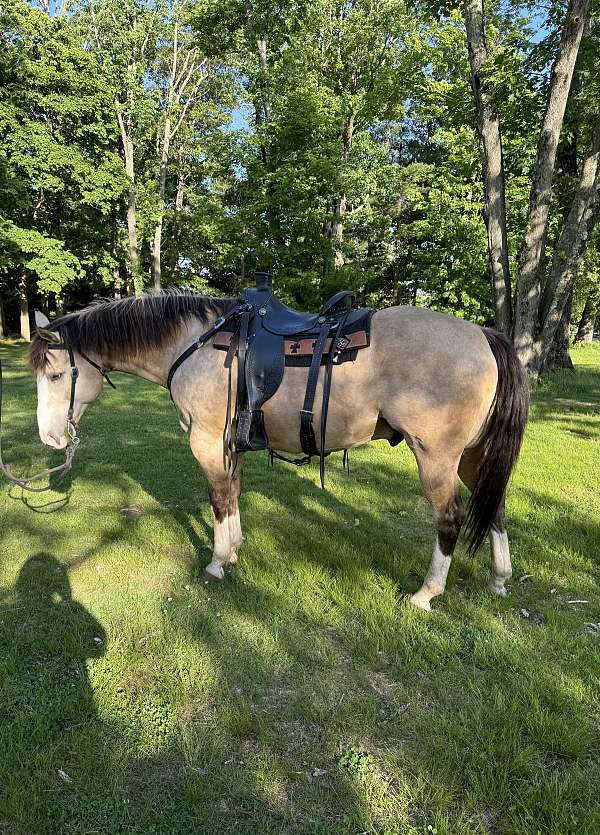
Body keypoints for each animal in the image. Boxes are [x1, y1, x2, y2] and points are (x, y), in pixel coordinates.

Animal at [30, 292, 529, 610]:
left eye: (55, 375)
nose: (51, 440)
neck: (194, 346)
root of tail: (483, 335)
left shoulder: (206, 442)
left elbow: (218, 500)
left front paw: (217, 563)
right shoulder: (230, 445)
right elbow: (233, 496)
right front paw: (234, 550)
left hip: (437, 459)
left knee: (450, 518)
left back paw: (426, 594)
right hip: (472, 456)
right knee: (495, 504)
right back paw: (500, 579)